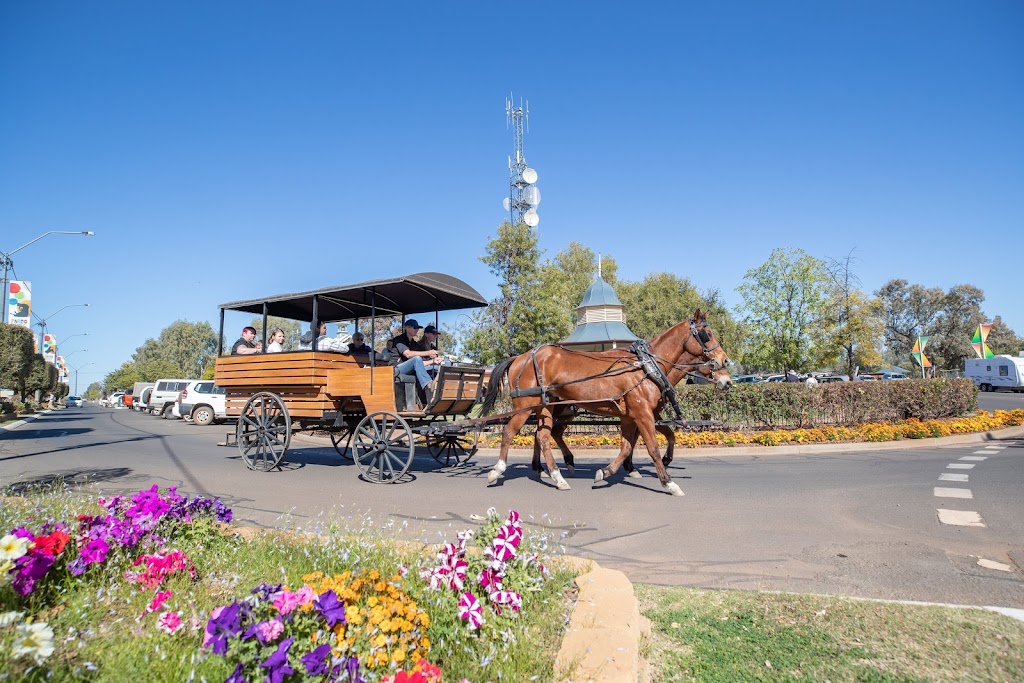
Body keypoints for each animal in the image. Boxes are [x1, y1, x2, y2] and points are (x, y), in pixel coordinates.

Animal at [479, 311, 729, 497]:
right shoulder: (643, 414)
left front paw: (607, 472)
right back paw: (498, 471)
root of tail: (521, 357)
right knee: (510, 432)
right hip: (526, 404)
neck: (647, 366)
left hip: (546, 407)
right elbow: (653, 447)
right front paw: (668, 483)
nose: (725, 364)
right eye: (706, 334)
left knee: (542, 436)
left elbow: (630, 445)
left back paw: (556, 475)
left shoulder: (631, 416)